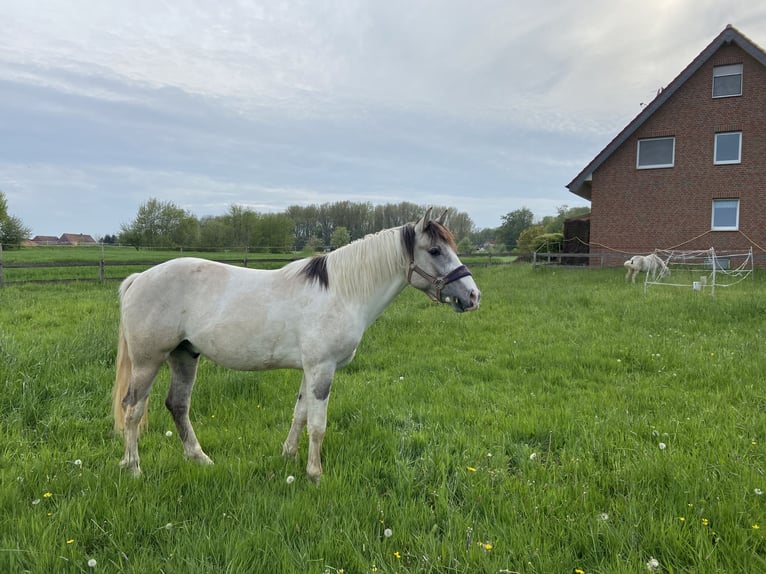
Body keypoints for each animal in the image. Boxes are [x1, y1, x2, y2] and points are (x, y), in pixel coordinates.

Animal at [111, 209, 480, 484]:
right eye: (435, 251)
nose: (472, 296)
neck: (342, 292)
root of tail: (139, 278)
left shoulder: (310, 369)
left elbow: (300, 414)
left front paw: (288, 456)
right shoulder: (322, 369)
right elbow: (318, 424)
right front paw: (315, 474)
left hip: (184, 355)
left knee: (178, 405)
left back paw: (200, 459)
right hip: (148, 361)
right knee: (133, 409)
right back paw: (133, 468)